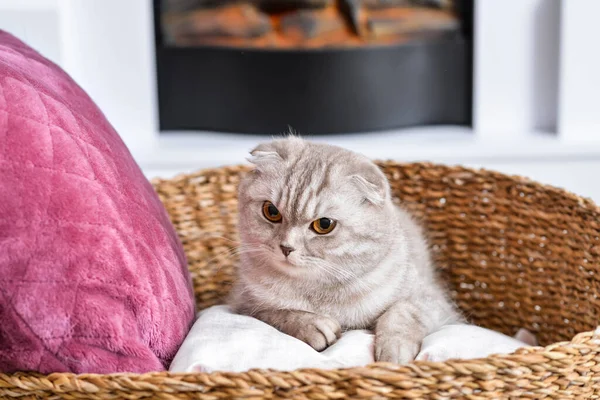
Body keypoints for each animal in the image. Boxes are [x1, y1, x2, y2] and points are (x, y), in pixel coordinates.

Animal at [227, 137, 462, 362]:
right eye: (272, 211)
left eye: (324, 224)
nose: (286, 247)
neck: (318, 291)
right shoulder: (242, 305)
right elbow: (277, 312)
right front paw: (311, 325)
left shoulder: (433, 302)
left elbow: (402, 312)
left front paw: (394, 350)